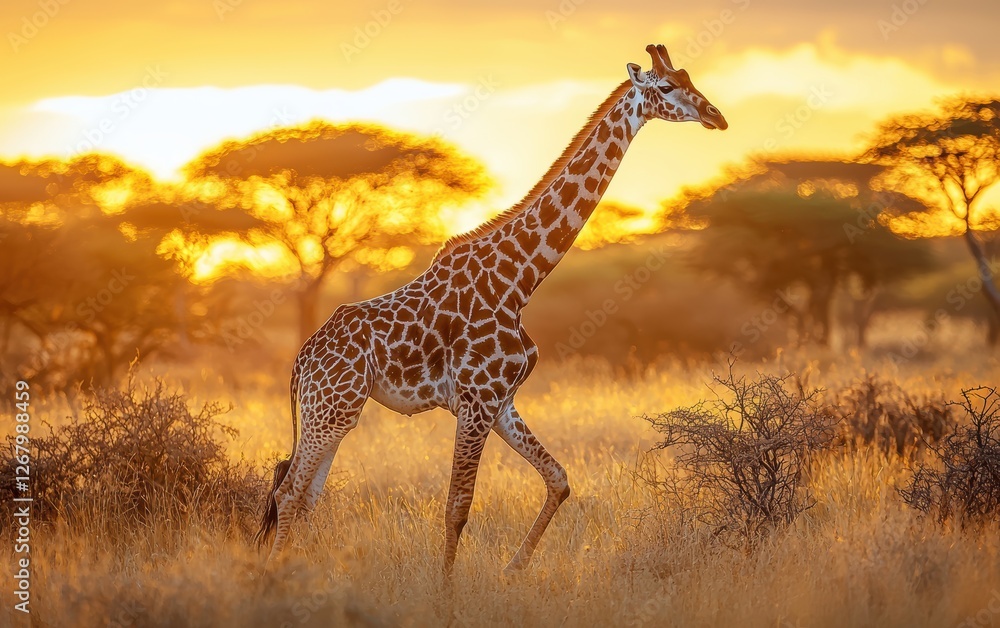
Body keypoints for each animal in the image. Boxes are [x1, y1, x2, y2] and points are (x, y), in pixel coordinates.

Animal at [255, 43, 728, 575]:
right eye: (666, 87)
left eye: (690, 78)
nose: (717, 116)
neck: (519, 282)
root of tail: (300, 363)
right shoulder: (476, 400)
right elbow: (457, 508)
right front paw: (446, 589)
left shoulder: (502, 401)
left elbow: (558, 479)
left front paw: (512, 569)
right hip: (331, 409)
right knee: (289, 492)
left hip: (336, 413)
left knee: (303, 495)